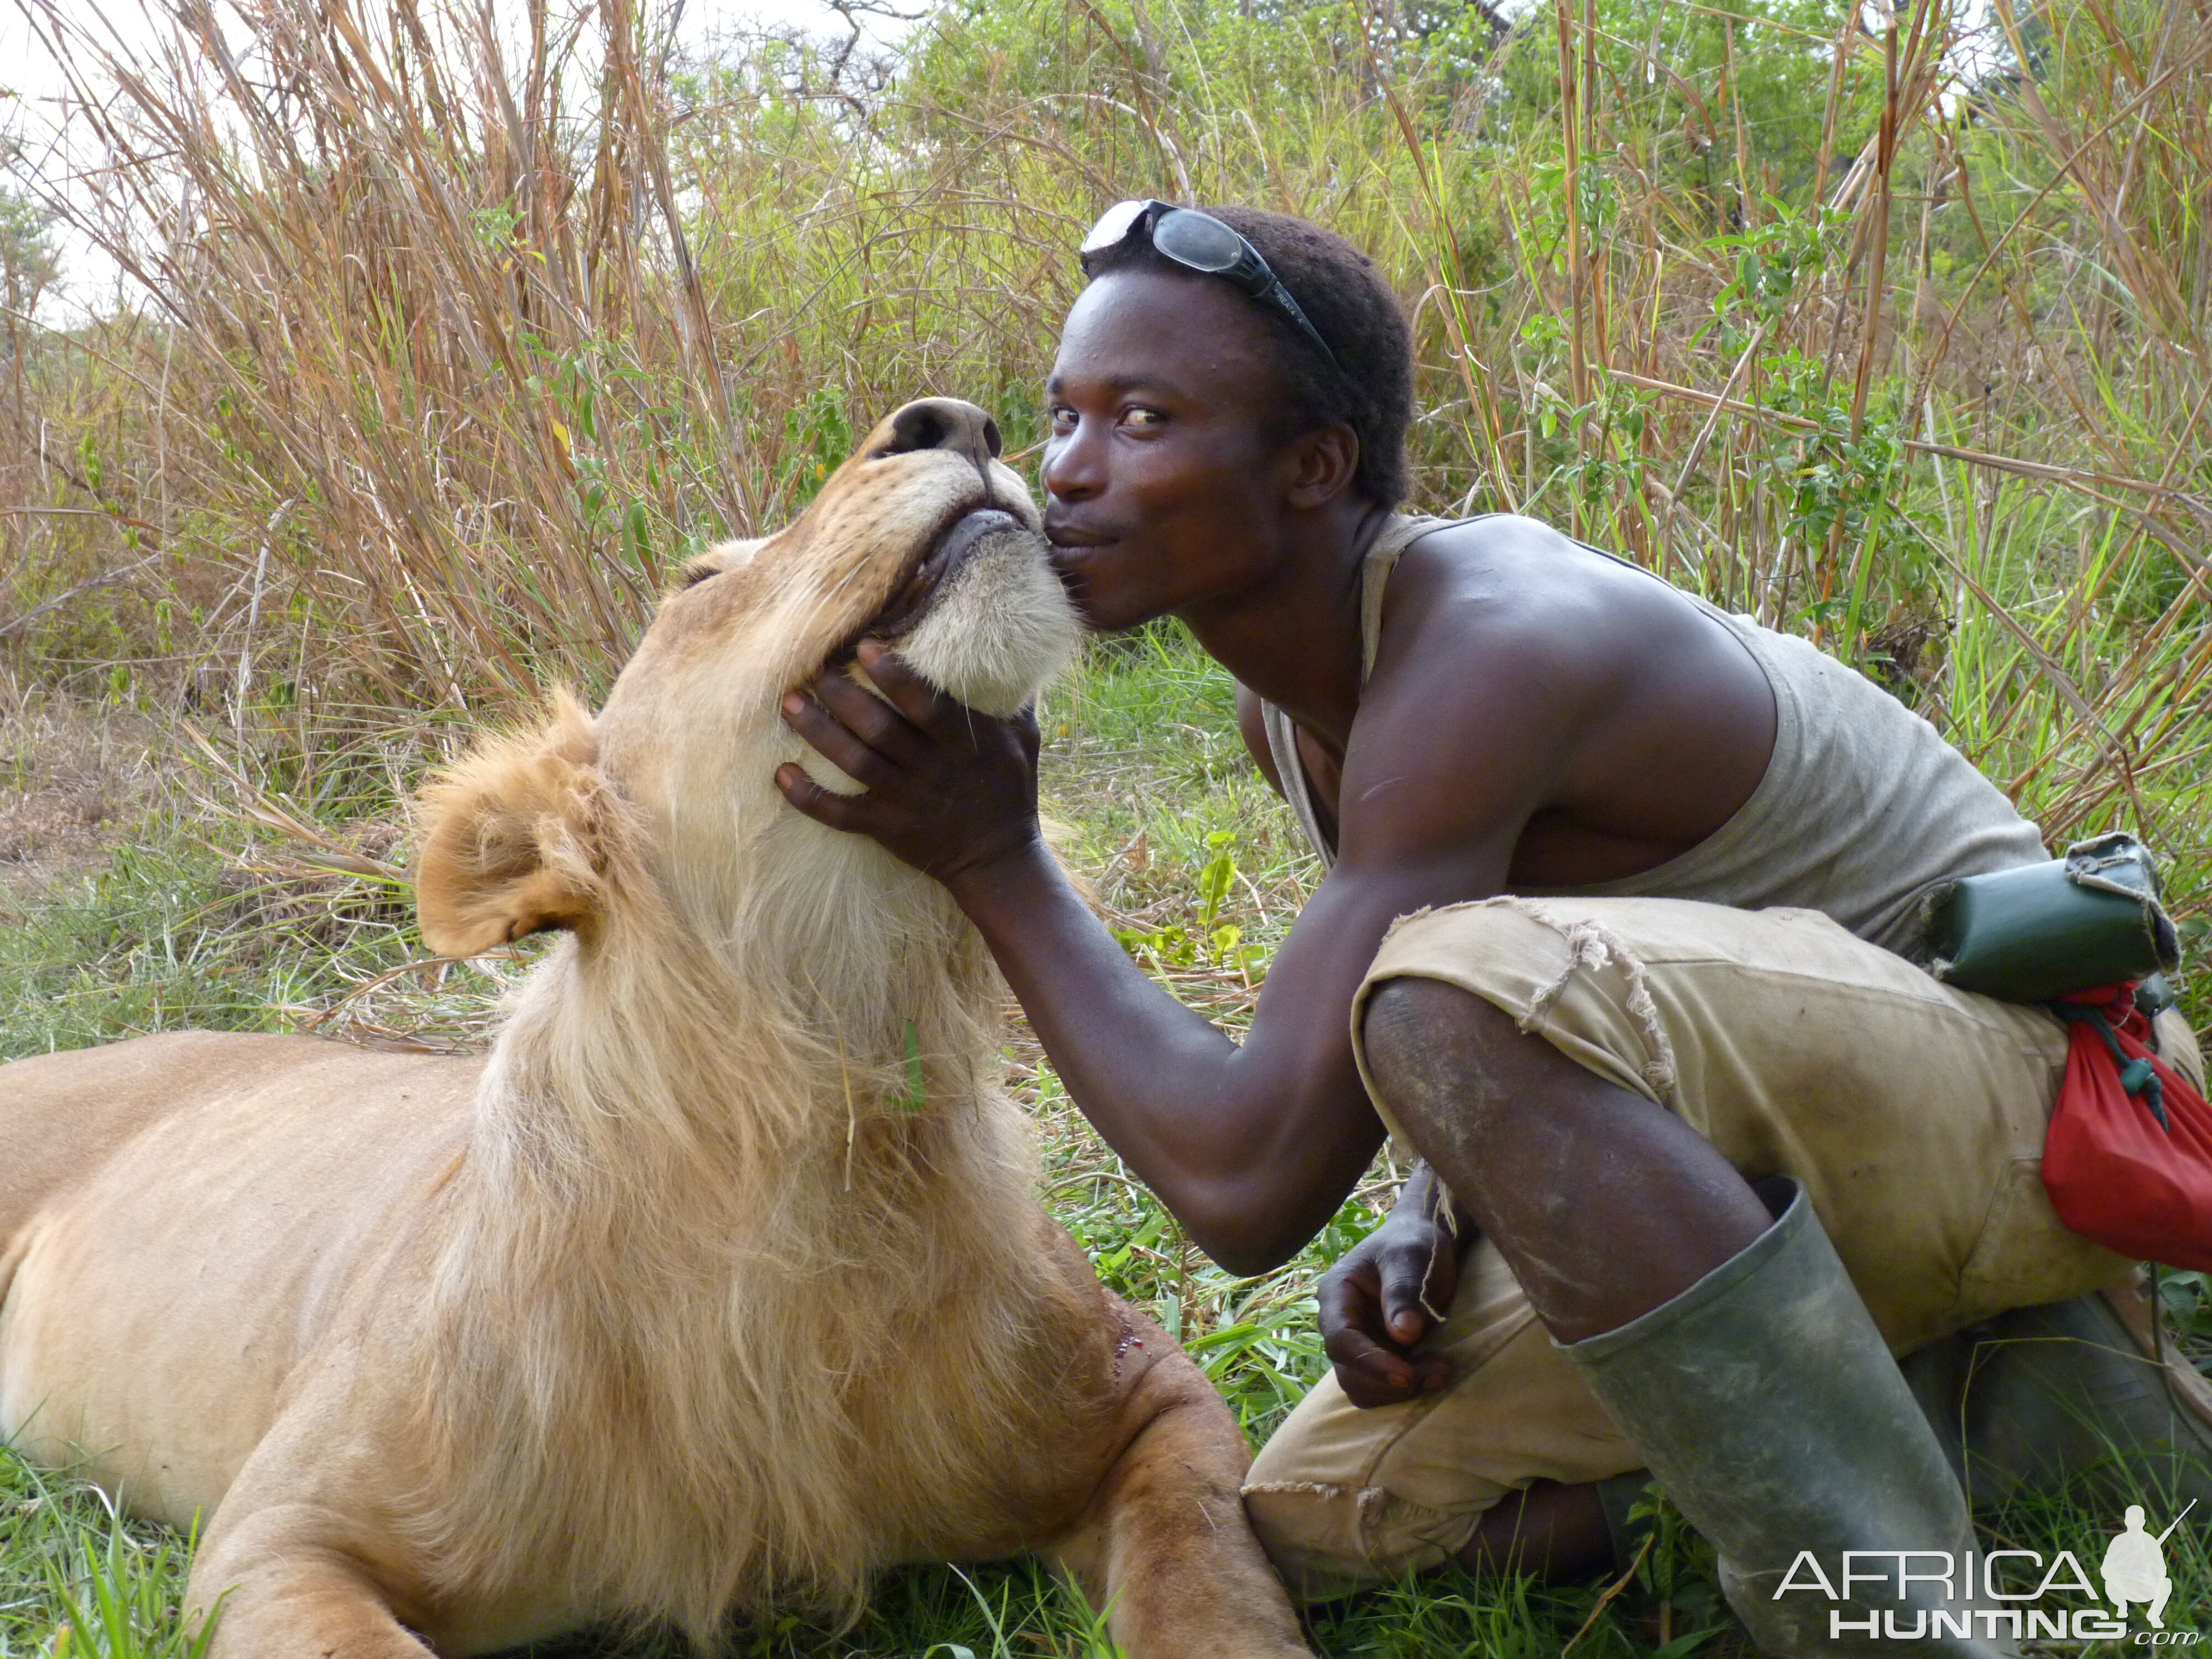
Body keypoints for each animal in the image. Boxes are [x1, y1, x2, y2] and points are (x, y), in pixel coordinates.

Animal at [0, 403, 1310, 1659]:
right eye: (697, 578)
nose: (961, 421)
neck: (806, 1075)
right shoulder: (279, 1535)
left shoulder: (1147, 1396)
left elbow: (1207, 1579)